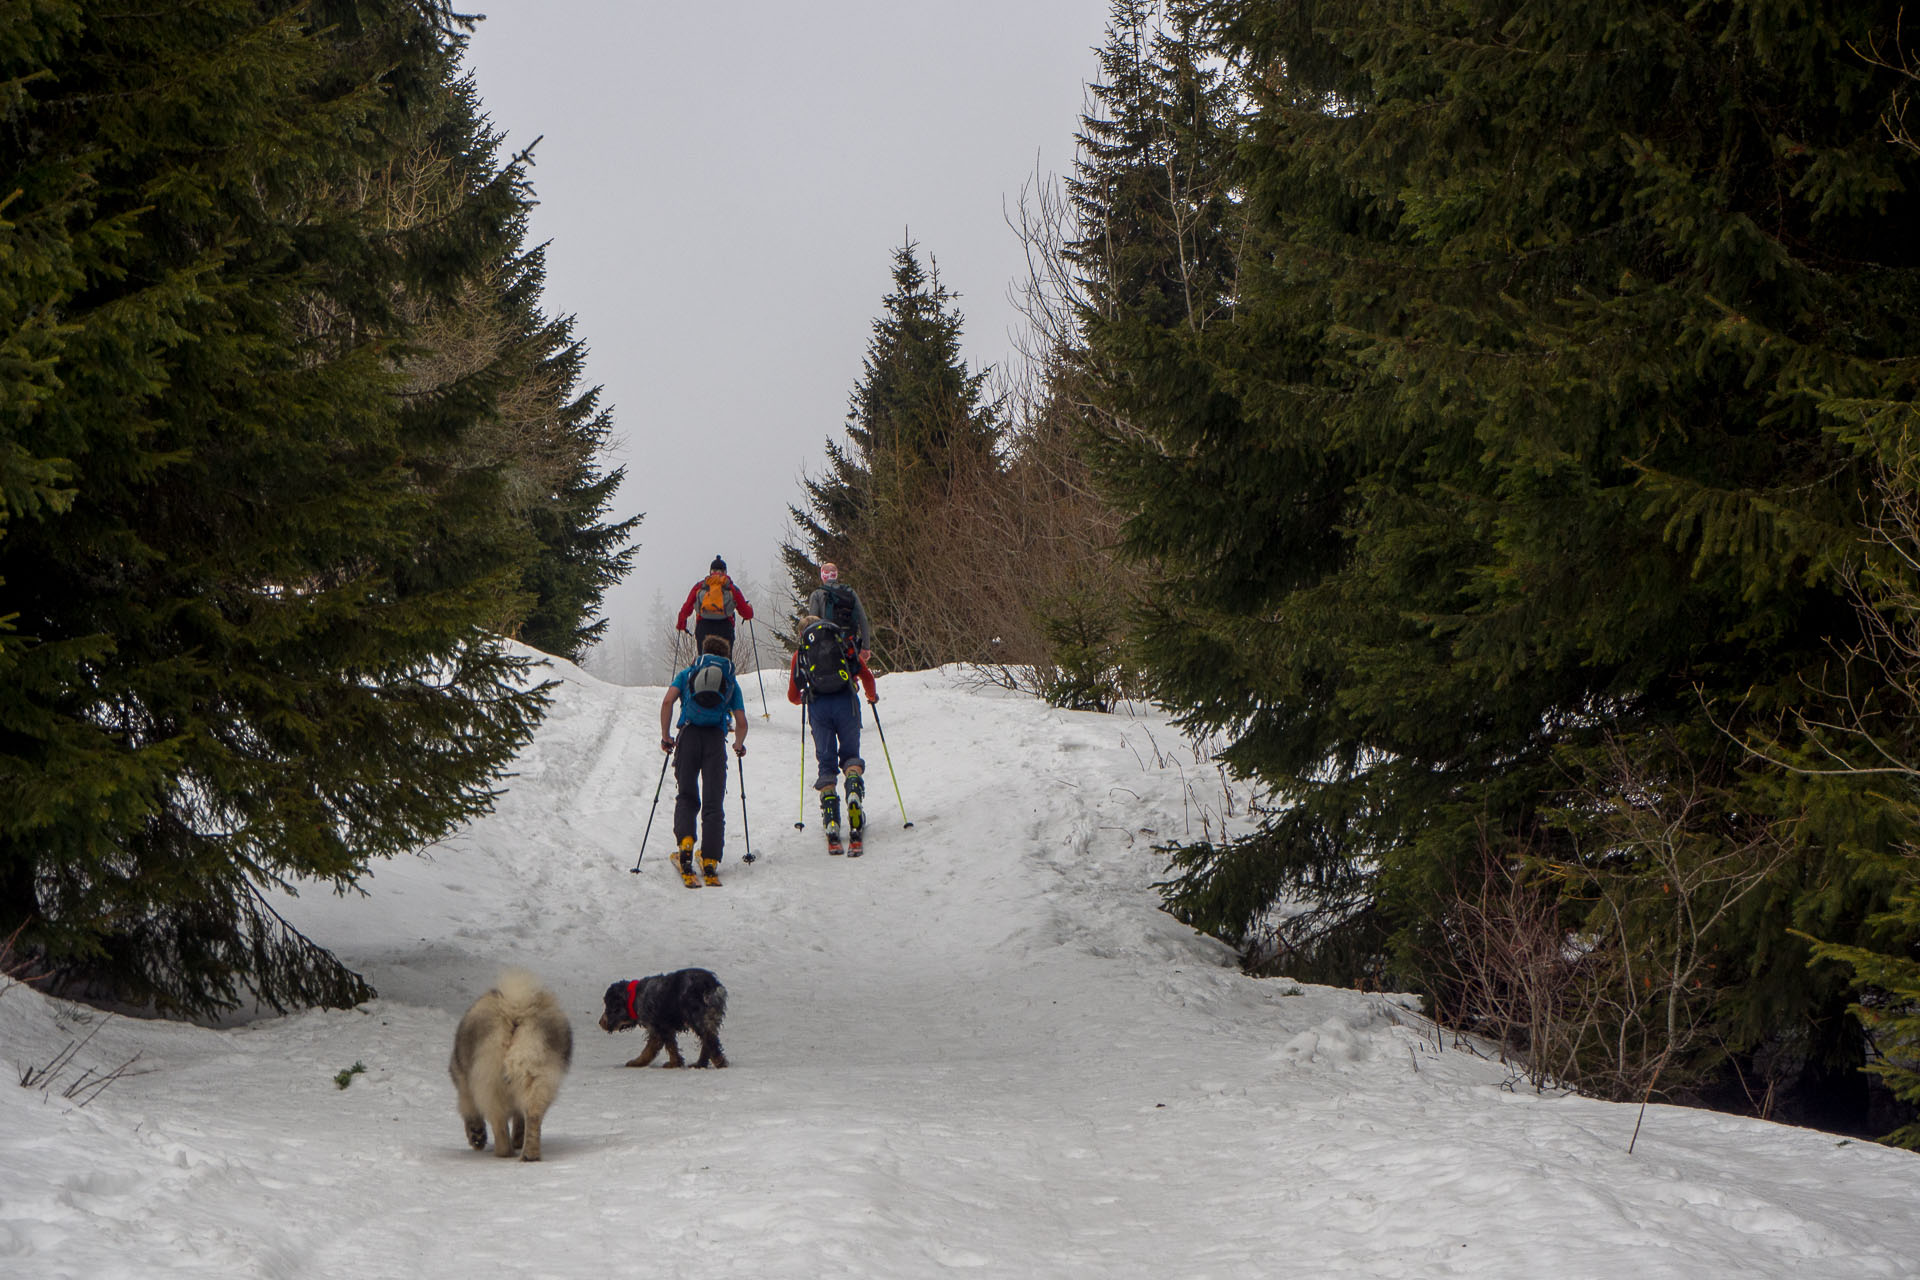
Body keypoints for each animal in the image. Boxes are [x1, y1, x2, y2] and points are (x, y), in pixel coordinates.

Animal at [447, 971, 568, 1159]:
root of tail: (515, 1011)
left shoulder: (464, 1085)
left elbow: (470, 1112)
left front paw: (477, 1136)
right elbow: (519, 1119)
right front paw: (517, 1139)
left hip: (489, 1082)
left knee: (499, 1124)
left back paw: (502, 1152)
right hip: (538, 1076)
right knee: (533, 1117)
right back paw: (529, 1154)